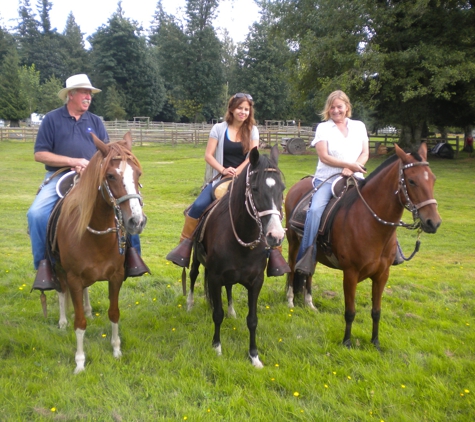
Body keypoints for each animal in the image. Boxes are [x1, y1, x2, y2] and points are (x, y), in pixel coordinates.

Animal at [54, 132, 146, 372]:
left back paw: (87, 309)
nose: (137, 221)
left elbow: (114, 314)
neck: (96, 238)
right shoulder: (74, 279)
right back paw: (62, 321)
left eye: (138, 173)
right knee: (61, 292)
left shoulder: (116, 277)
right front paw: (79, 361)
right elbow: (79, 323)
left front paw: (116, 350)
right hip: (58, 269)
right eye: (111, 176)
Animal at [190, 145, 286, 366]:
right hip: (196, 260)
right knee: (192, 276)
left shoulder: (256, 281)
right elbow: (217, 314)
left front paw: (254, 355)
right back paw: (189, 305)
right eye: (256, 189)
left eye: (283, 188)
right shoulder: (215, 277)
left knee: (230, 288)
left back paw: (232, 311)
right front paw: (217, 347)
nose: (276, 236)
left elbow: (252, 320)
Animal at [282, 143, 442, 348]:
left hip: (313, 252)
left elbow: (376, 311)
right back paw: (290, 301)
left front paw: (375, 342)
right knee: (292, 268)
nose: (433, 222)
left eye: (433, 179)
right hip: (294, 245)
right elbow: (350, 312)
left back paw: (310, 304)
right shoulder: (350, 274)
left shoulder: (382, 275)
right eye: (412, 181)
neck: (369, 224)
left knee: (307, 271)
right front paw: (347, 342)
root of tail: (298, 186)